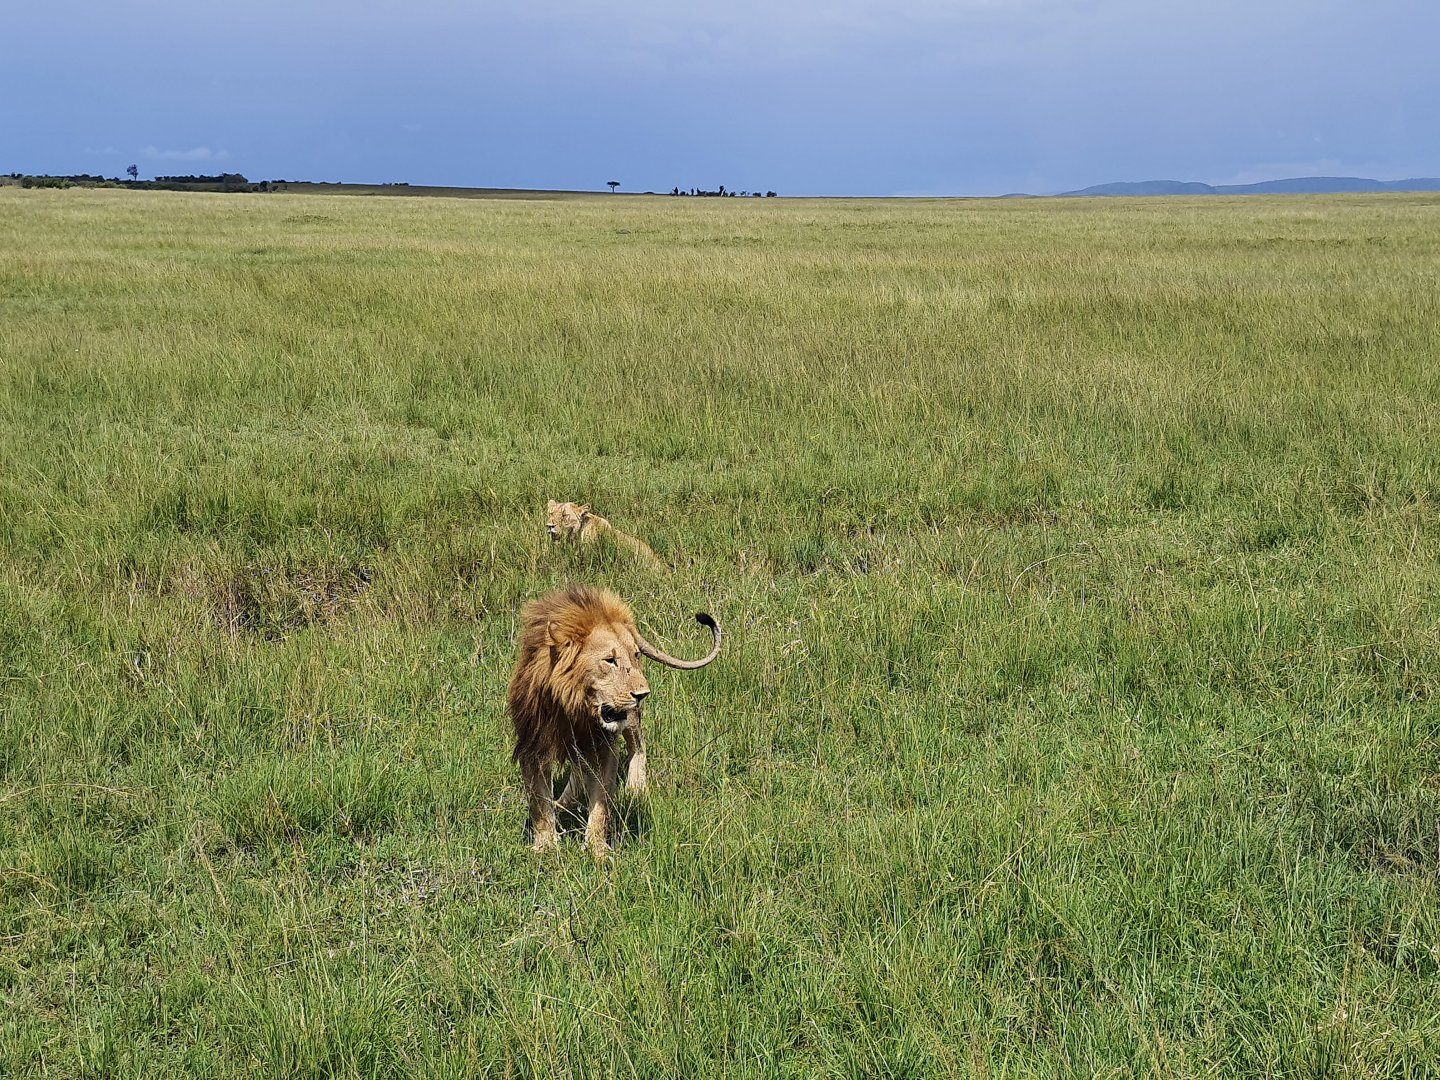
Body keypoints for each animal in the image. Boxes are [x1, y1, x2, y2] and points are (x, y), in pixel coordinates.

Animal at [508, 584, 721, 859]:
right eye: (610, 660)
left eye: (635, 655)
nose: (643, 694)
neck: (574, 705)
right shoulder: (533, 743)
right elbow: (539, 801)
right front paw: (545, 844)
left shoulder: (604, 745)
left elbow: (601, 802)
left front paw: (597, 849)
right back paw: (564, 803)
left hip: (630, 721)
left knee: (638, 744)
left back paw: (635, 787)